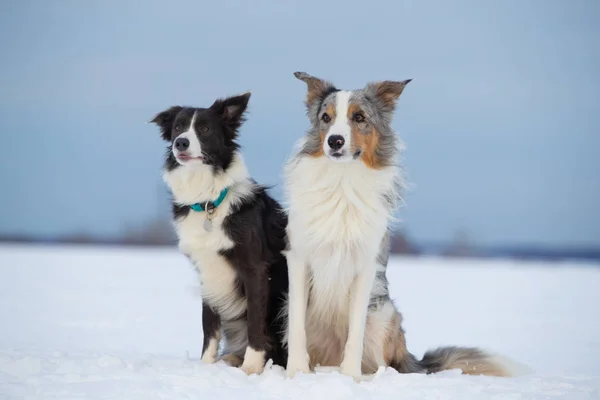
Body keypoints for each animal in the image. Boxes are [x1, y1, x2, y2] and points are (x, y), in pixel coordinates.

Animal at [151, 92, 290, 374]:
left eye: (205, 129)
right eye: (178, 127)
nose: (181, 143)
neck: (209, 202)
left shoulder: (255, 269)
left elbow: (255, 324)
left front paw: (251, 369)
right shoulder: (207, 270)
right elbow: (210, 326)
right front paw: (206, 366)